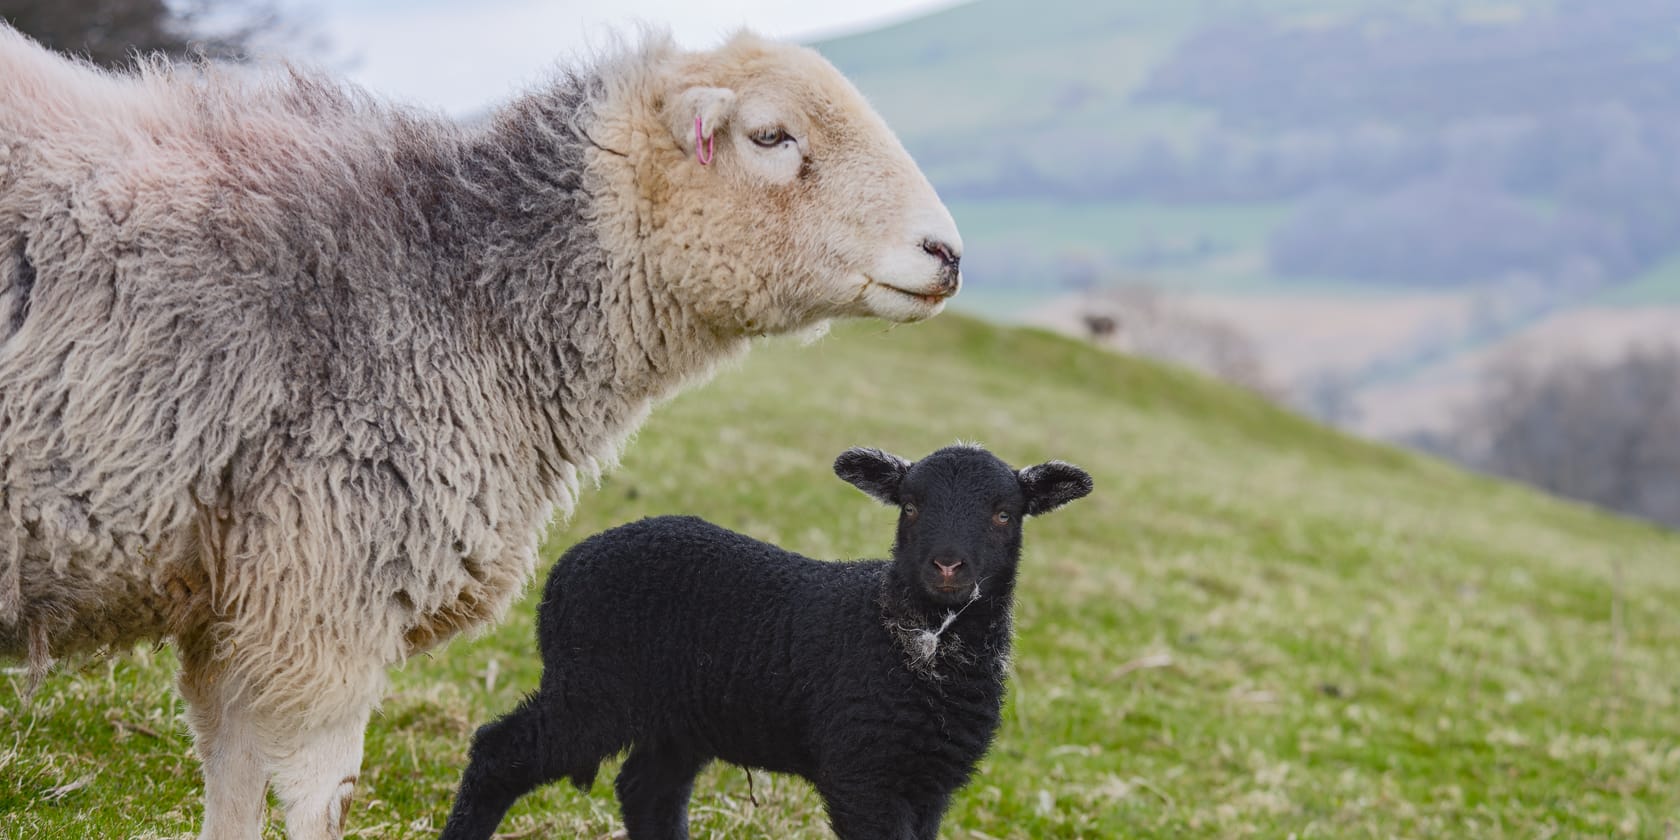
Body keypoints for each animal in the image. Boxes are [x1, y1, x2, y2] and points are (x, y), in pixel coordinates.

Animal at [0, 26, 967, 840]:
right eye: (771, 137)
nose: (948, 254)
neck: (460, 285)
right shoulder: (334, 579)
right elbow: (319, 796)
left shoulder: (239, 591)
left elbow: (232, 780)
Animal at [436, 443, 1088, 836]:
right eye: (909, 505)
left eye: (1005, 514)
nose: (947, 566)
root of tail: (568, 567)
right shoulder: (861, 773)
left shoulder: (929, 783)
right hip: (593, 690)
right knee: (498, 752)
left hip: (678, 714)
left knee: (647, 791)